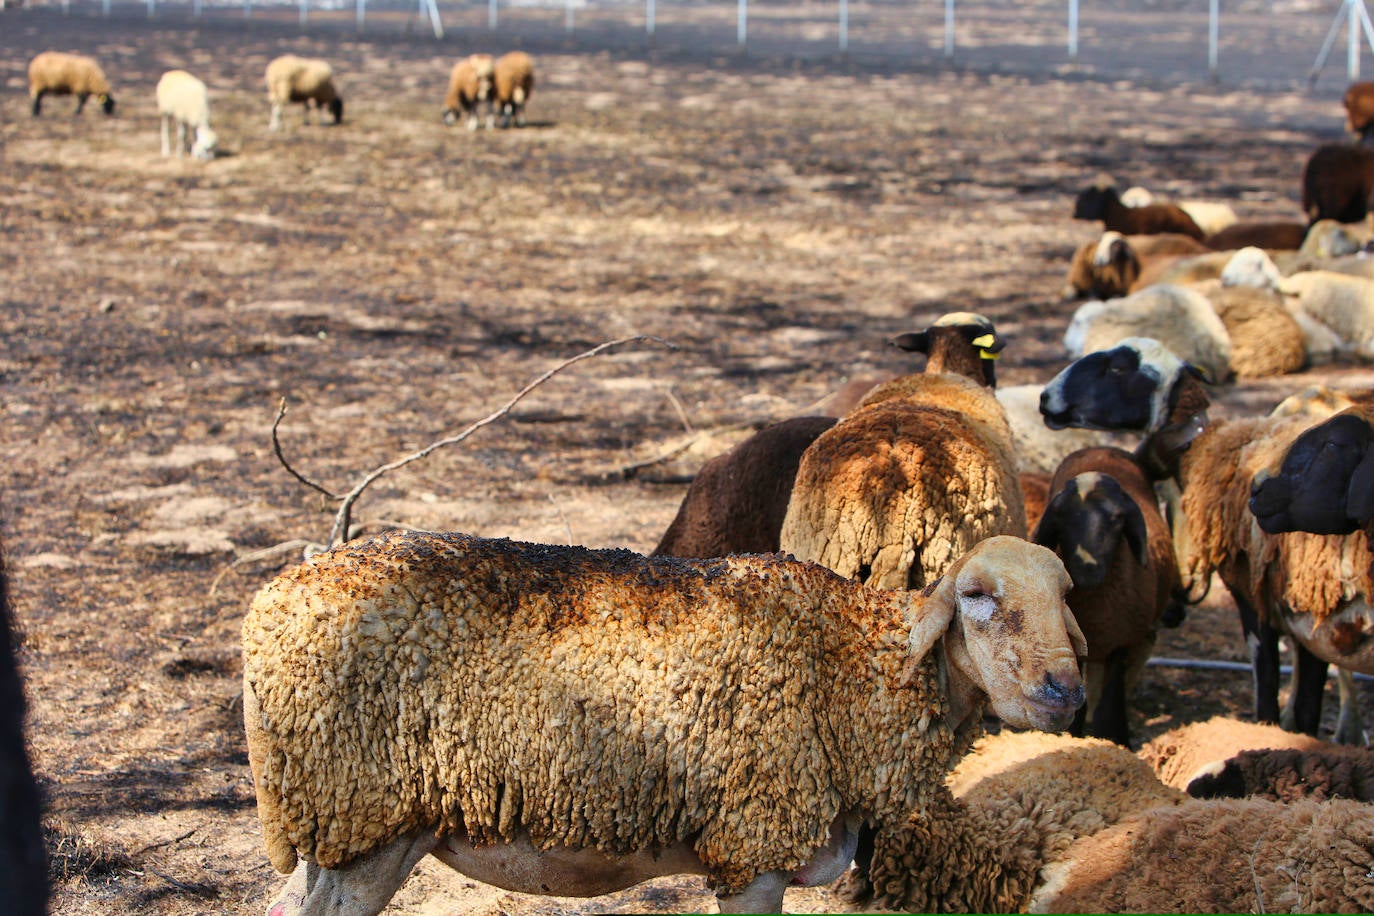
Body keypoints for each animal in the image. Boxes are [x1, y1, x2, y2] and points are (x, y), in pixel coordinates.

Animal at [244, 530, 1082, 916]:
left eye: (1066, 594)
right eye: (976, 596)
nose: (1064, 690)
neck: (854, 663)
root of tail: (272, 604)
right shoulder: (755, 843)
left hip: (334, 825)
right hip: (365, 818)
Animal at [1033, 447, 1181, 747]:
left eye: (1117, 518)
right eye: (1060, 515)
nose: (1086, 568)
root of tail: (1101, 449)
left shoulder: (1121, 643)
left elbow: (1110, 710)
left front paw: (1116, 739)